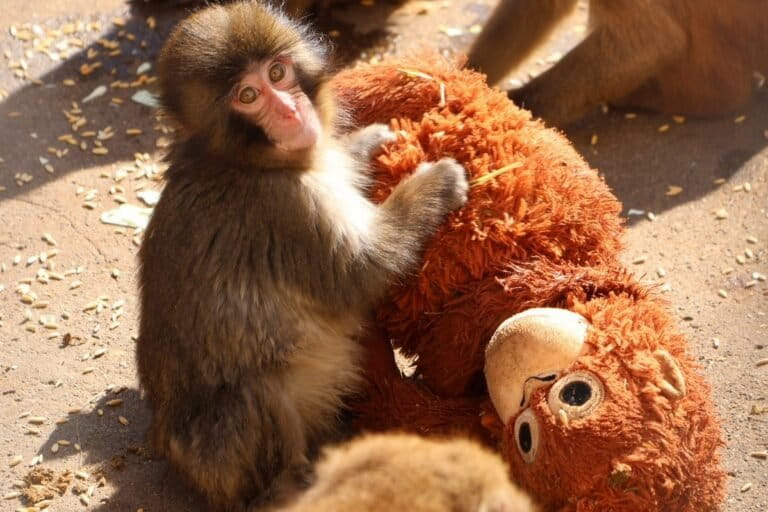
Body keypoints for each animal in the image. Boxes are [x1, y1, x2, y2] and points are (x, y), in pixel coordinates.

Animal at [136, 2, 468, 511]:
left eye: (278, 72)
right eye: (248, 95)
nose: (291, 111)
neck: (246, 161)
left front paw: (365, 143)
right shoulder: (287, 208)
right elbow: (360, 272)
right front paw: (435, 184)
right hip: (219, 460)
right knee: (254, 393)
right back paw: (291, 485)